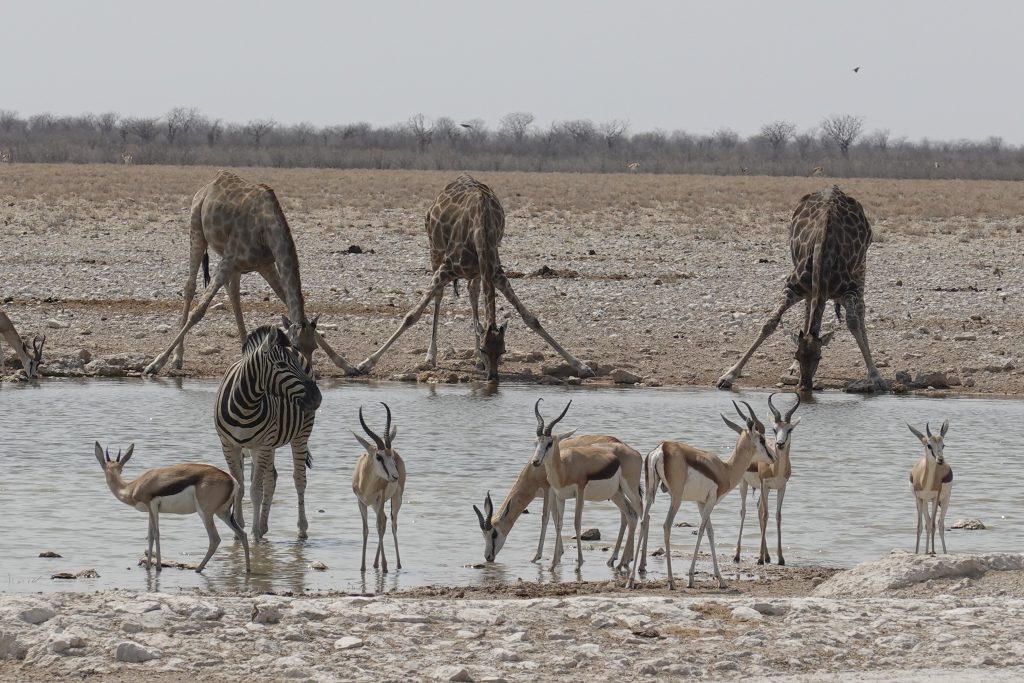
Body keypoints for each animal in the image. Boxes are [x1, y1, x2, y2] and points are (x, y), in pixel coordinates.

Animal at [143, 170, 357, 376]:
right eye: (294, 347)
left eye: (313, 348)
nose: (309, 373)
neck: (266, 230)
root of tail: (208, 185)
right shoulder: (229, 259)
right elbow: (199, 311)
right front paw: (155, 364)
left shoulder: (266, 265)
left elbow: (285, 299)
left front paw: (348, 365)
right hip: (196, 231)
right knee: (190, 287)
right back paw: (177, 358)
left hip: (232, 262)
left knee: (234, 294)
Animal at [356, 174, 593, 382]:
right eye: (485, 349)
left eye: (503, 351)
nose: (493, 377)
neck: (481, 227)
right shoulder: (447, 268)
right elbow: (411, 316)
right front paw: (365, 363)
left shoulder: (495, 272)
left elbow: (531, 319)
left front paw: (581, 365)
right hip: (435, 250)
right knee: (439, 296)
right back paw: (431, 356)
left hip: (476, 272)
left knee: (473, 294)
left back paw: (474, 360)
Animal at [717, 185, 887, 393]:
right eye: (796, 355)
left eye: (819, 357)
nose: (804, 386)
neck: (824, 255)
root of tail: (835, 188)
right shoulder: (792, 287)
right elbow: (769, 324)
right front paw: (728, 375)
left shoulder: (850, 290)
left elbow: (853, 322)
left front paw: (876, 376)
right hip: (806, 283)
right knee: (807, 312)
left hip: (861, 266)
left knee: (861, 310)